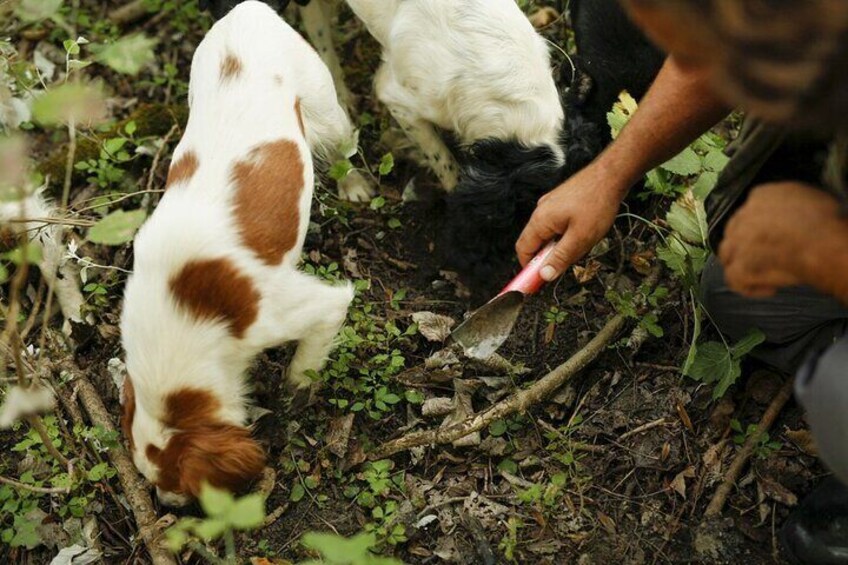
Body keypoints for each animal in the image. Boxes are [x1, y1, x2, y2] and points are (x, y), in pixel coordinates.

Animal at [119, 0, 358, 502]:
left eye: (182, 487)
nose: (166, 505)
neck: (184, 313)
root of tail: (247, 9)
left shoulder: (301, 310)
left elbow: (307, 361)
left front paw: (294, 393)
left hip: (325, 108)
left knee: (344, 147)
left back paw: (356, 186)